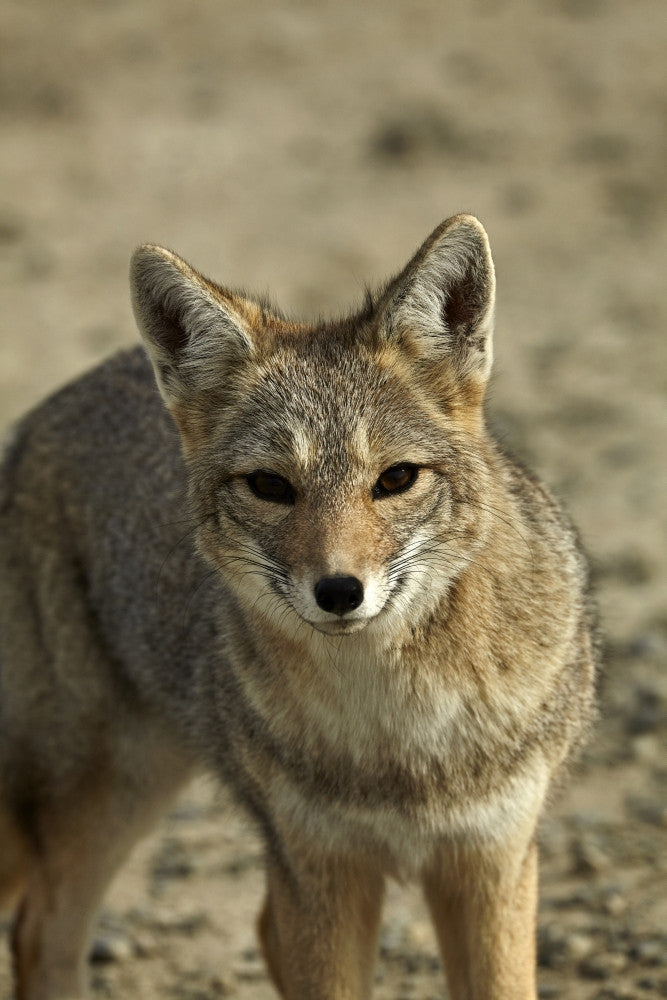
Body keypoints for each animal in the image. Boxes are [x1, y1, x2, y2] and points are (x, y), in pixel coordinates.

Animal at [0, 214, 597, 1000]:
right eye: (270, 486)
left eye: (395, 479)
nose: (339, 591)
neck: (397, 741)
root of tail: (40, 416)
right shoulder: (319, 871)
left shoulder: (491, 860)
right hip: (109, 787)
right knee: (40, 927)